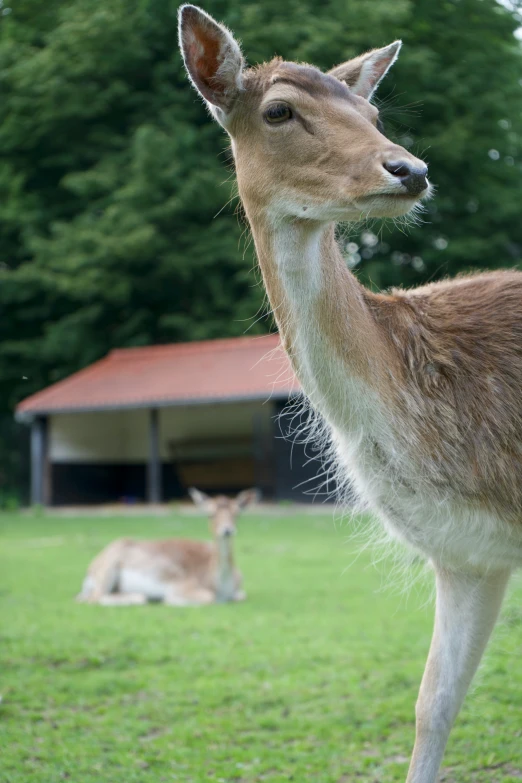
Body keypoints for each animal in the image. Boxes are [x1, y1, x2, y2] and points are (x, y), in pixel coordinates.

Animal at [76, 486, 256, 608]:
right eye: (210, 514)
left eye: (237, 513)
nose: (227, 530)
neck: (221, 585)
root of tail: (90, 570)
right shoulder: (183, 585)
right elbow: (207, 597)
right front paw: (168, 600)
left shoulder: (239, 591)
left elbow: (243, 595)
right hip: (107, 568)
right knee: (93, 598)